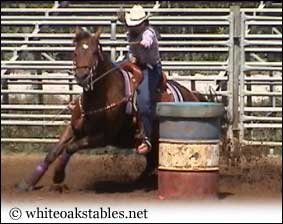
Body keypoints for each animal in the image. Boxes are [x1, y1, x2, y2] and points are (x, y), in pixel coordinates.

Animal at [17, 27, 209, 192]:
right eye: (75, 52)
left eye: (94, 52)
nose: (82, 76)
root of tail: (192, 95)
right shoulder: (73, 128)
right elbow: (53, 152)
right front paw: (27, 183)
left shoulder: (103, 137)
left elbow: (71, 147)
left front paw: (58, 177)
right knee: (150, 163)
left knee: (152, 163)